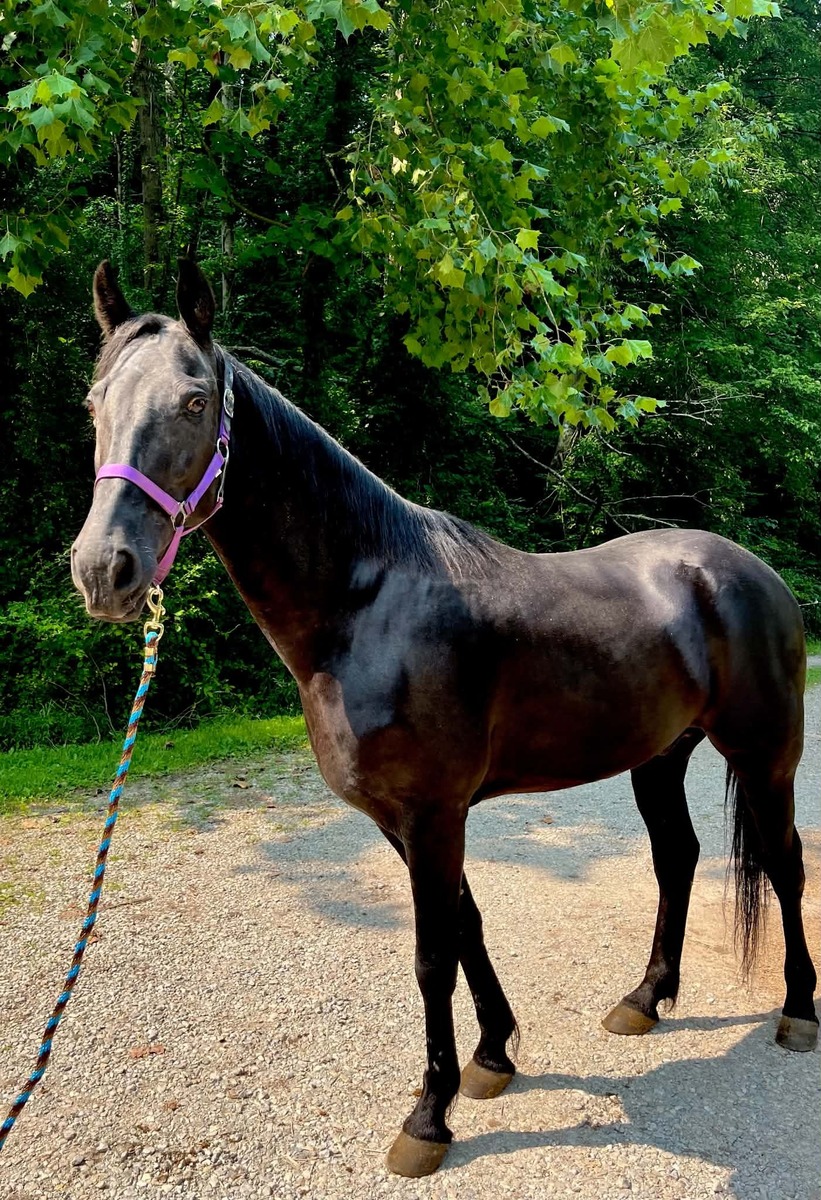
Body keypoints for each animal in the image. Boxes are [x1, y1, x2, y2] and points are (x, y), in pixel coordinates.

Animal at [71, 259, 818, 1178]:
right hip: (658, 756)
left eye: (192, 401)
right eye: (95, 401)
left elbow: (432, 956)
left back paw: (796, 1011)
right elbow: (465, 926)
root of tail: (752, 572)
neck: (366, 602)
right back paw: (644, 998)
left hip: (763, 754)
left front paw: (429, 1115)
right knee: (675, 859)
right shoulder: (403, 819)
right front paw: (493, 1055)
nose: (103, 569)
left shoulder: (433, 813)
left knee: (785, 866)